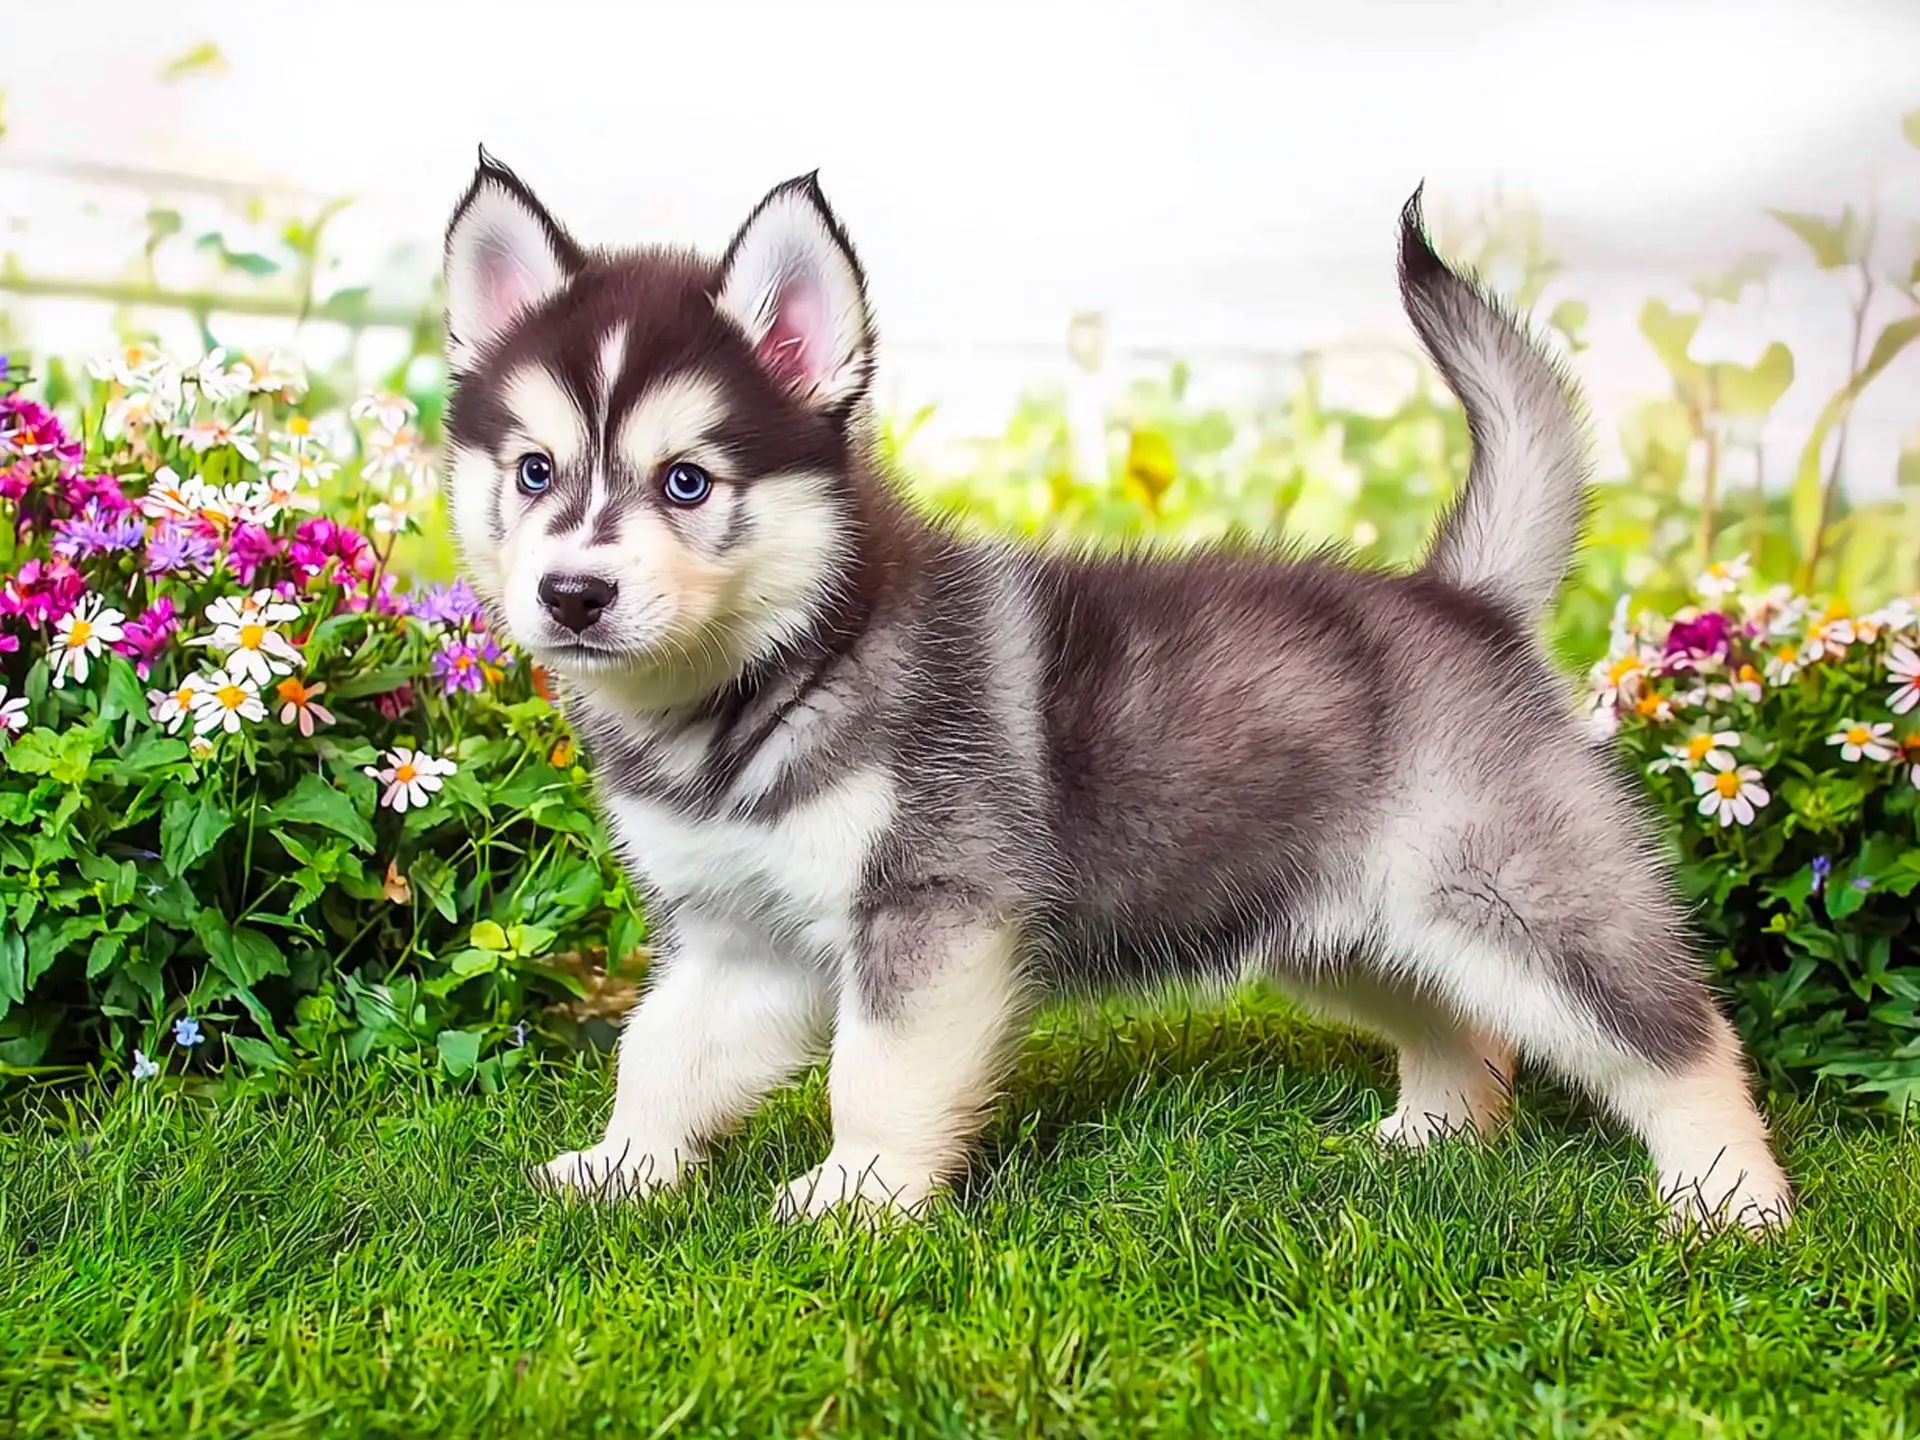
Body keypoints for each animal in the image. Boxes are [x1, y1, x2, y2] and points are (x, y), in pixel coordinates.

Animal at [441, 155, 1789, 1244]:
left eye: (686, 482)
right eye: (534, 471)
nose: (572, 593)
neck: (759, 689)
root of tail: (1466, 599)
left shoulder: (934, 909)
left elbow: (870, 1074)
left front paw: (858, 1200)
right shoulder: (739, 935)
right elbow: (656, 1053)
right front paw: (619, 1169)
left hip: (1519, 901)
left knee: (1682, 1036)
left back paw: (1732, 1199)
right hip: (1342, 926)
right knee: (1464, 1026)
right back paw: (1432, 1140)